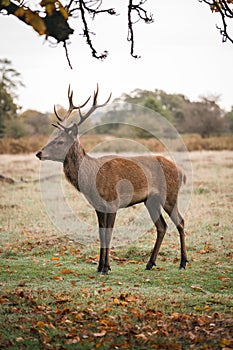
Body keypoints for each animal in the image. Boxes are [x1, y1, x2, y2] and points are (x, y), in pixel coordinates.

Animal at [36, 86, 189, 274]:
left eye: (60, 141)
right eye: (53, 139)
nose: (39, 153)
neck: (91, 181)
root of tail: (181, 172)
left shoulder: (112, 203)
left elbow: (108, 234)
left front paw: (106, 267)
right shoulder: (98, 206)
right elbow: (101, 234)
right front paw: (99, 266)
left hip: (169, 195)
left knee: (180, 222)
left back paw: (183, 262)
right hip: (150, 200)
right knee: (162, 226)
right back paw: (149, 263)